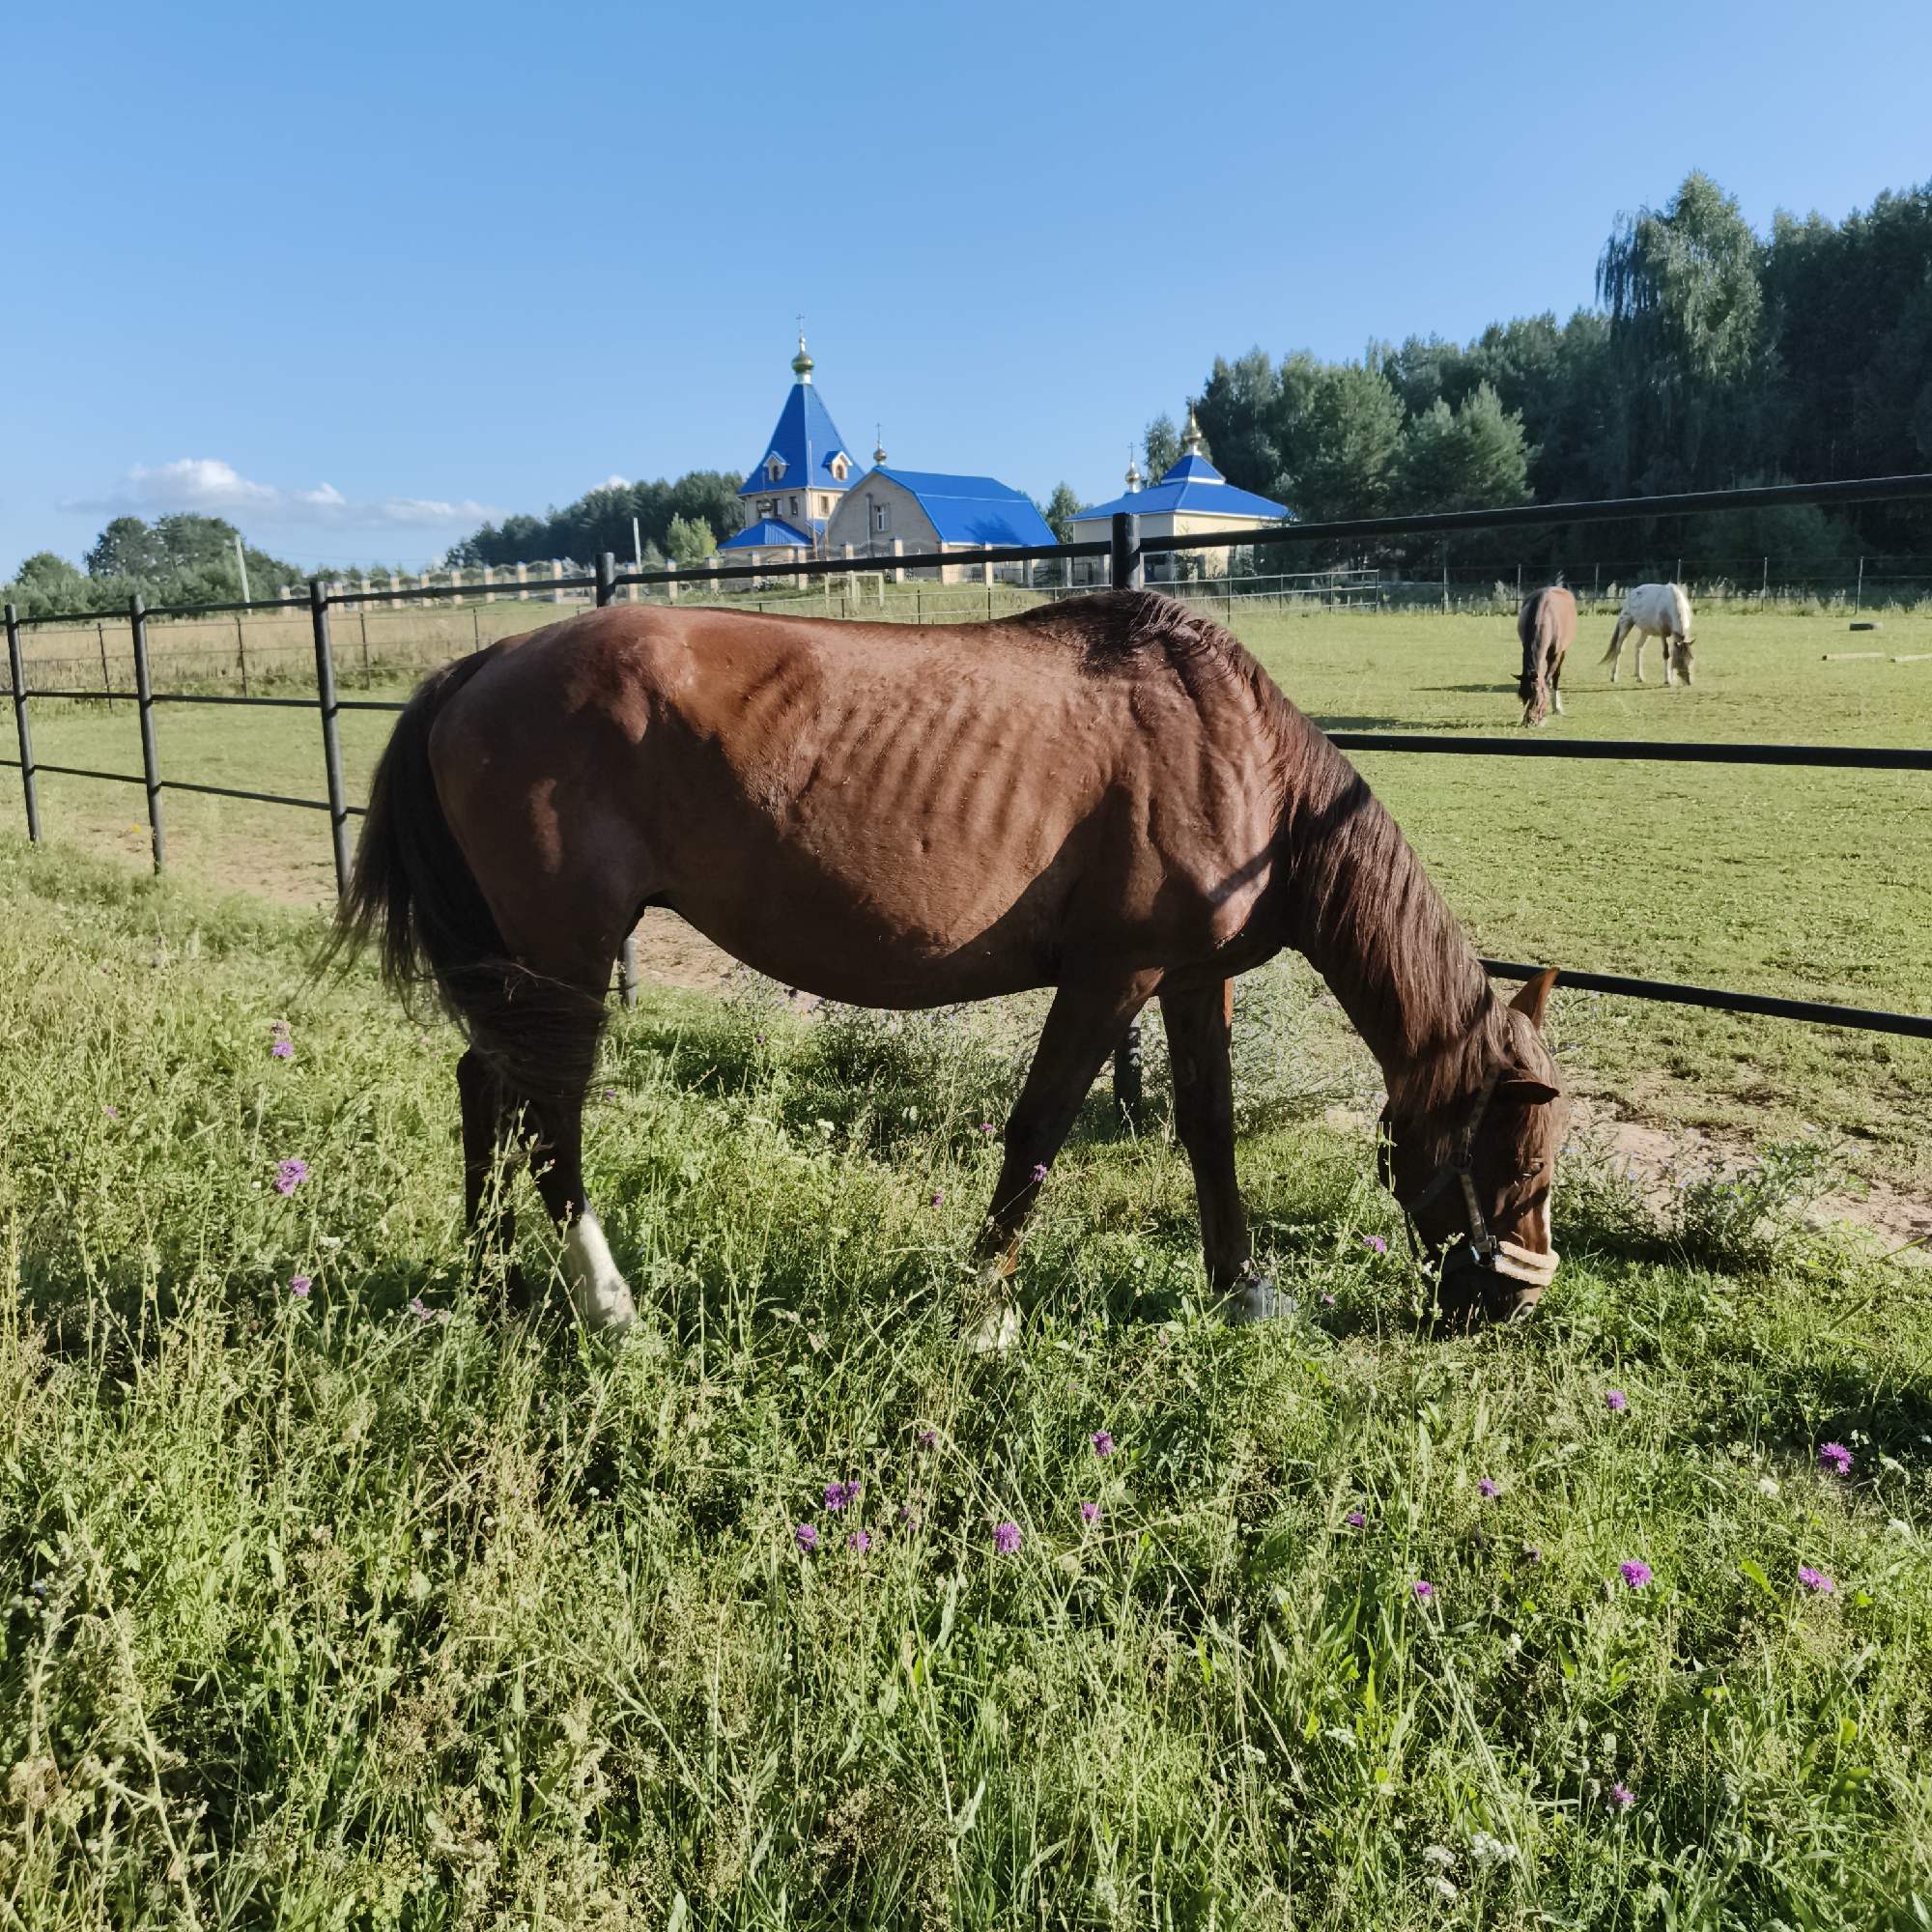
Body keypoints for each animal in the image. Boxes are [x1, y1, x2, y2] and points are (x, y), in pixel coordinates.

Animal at [338, 591, 1569, 1340]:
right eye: (1519, 1158)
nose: (1506, 1306)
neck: (1242, 754)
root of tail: (479, 663)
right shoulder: (1111, 974)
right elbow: (1037, 1131)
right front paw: (984, 1305)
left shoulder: (1187, 976)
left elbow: (1207, 1128)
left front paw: (1241, 1287)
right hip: (567, 952)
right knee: (549, 1107)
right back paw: (606, 1300)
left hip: (521, 961)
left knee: (486, 1083)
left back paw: (489, 1276)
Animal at [1516, 586, 1577, 726]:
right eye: (1521, 696)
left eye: (1536, 697)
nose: (1528, 720)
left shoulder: (1555, 655)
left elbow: (1547, 682)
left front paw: (1542, 716)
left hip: (1563, 651)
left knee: (1555, 676)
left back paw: (1557, 707)